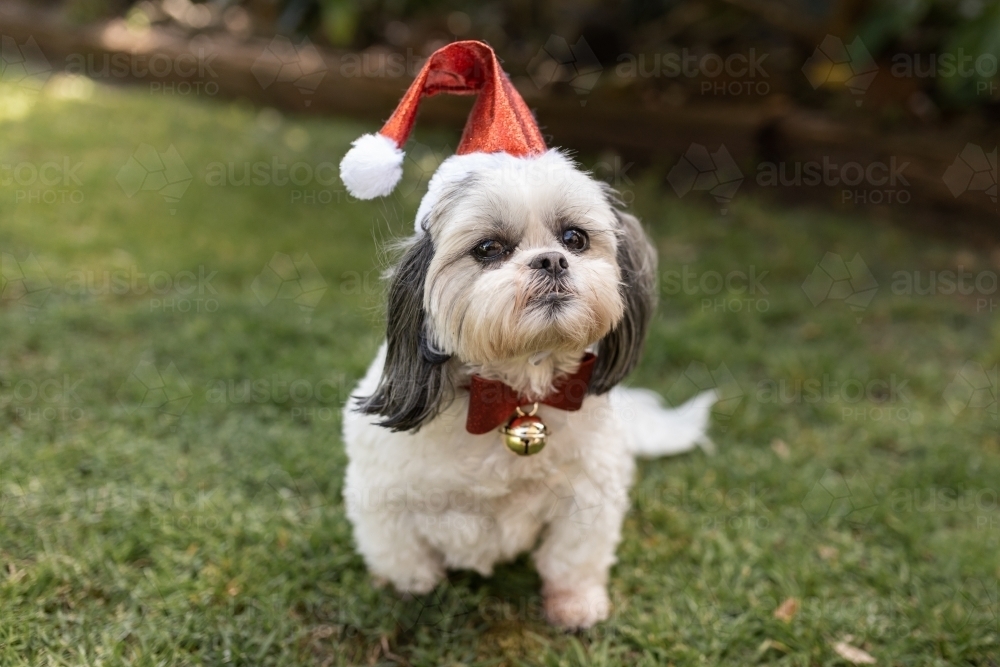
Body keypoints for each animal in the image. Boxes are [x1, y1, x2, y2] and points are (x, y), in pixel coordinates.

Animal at [340, 41, 716, 632]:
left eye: (574, 238)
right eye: (490, 249)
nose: (552, 260)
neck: (514, 396)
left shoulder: (590, 496)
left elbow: (573, 558)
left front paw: (575, 606)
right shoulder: (381, 496)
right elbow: (401, 553)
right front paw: (412, 588)